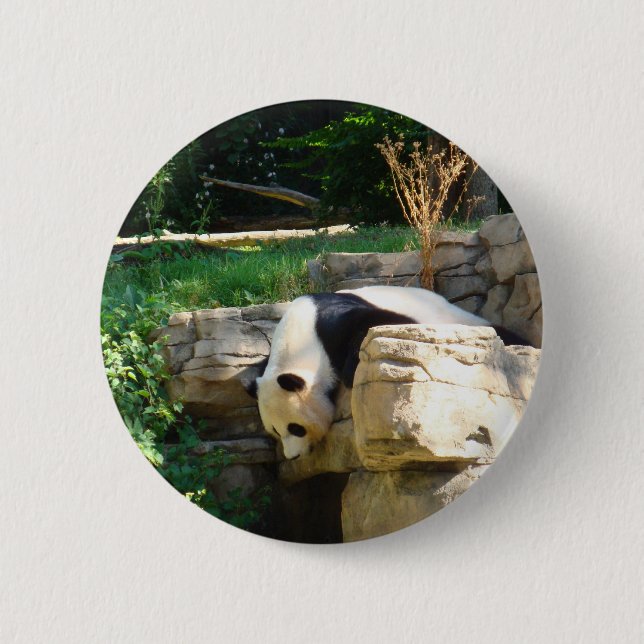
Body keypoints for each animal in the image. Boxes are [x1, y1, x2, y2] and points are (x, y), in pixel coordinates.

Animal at [246, 285, 527, 460]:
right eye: (275, 431)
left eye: (296, 428)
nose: (293, 455)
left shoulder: (331, 323)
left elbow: (380, 323)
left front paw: (350, 371)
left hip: (460, 319)